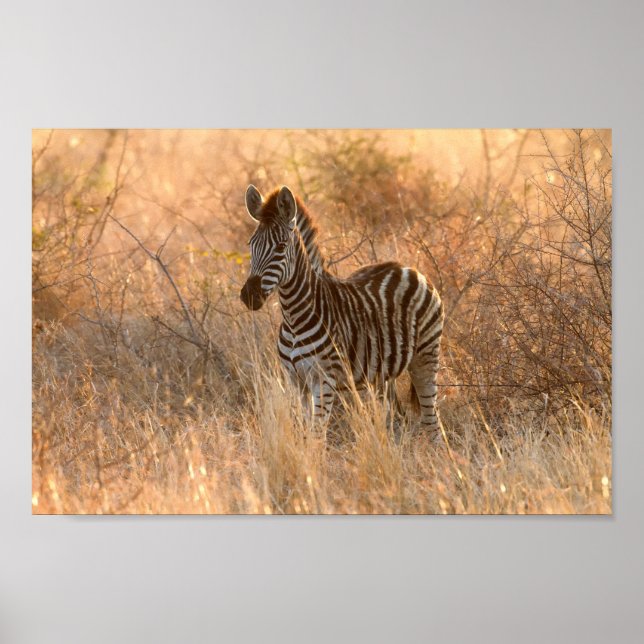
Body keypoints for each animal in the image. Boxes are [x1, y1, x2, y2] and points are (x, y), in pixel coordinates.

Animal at [240, 185, 444, 432]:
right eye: (250, 245)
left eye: (281, 247)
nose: (249, 296)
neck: (294, 318)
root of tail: (410, 269)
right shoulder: (297, 382)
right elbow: (304, 432)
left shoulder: (324, 382)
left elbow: (316, 435)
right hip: (383, 373)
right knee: (396, 416)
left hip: (426, 356)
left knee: (433, 422)